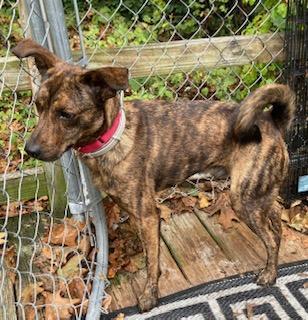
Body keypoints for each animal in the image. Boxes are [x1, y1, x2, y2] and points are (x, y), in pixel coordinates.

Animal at [12, 38, 296, 312]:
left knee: (270, 238)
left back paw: (269, 274)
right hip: (259, 193)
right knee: (276, 220)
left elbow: (151, 260)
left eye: (66, 115)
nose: (30, 150)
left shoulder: (148, 215)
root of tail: (271, 121)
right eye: (38, 106)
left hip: (243, 197)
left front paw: (150, 296)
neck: (114, 137)